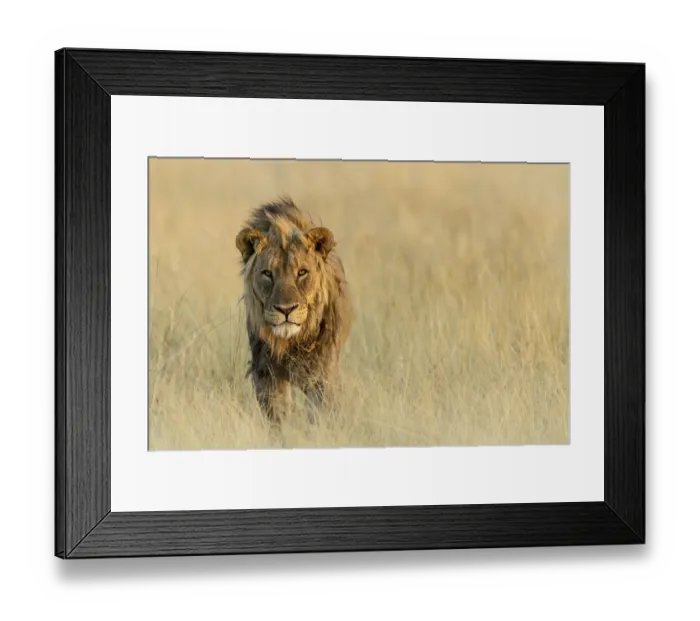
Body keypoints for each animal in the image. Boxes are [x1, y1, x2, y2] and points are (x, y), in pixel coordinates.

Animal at [235, 197, 353, 424]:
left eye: (302, 272)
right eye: (267, 273)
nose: (286, 309)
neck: (291, 342)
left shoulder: (322, 372)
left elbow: (319, 413)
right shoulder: (267, 372)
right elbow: (277, 416)